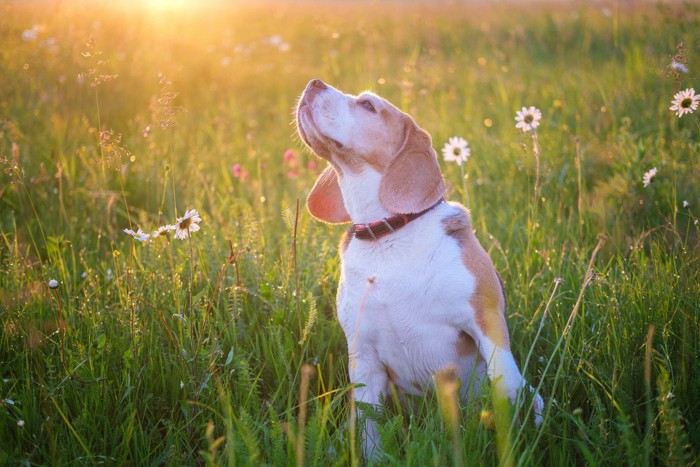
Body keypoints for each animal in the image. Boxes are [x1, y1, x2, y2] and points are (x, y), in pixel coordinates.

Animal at [294, 78, 540, 458]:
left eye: (368, 105)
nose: (313, 82)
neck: (389, 235)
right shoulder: (363, 355)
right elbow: (369, 428)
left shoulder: (485, 320)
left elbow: (506, 384)